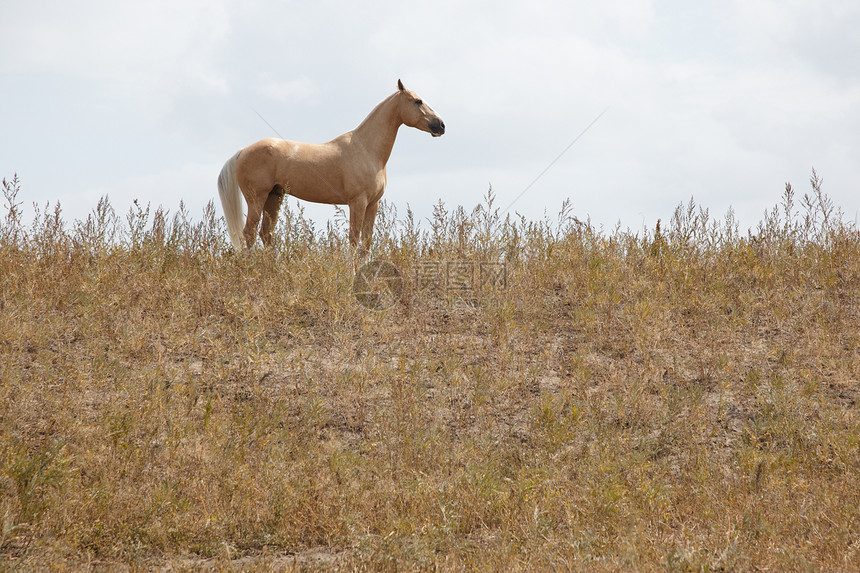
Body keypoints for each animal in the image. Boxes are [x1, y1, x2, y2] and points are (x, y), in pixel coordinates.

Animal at [217, 78, 444, 250]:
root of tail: (242, 151)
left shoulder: (373, 204)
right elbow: (354, 241)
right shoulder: (357, 202)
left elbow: (366, 244)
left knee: (266, 234)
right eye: (418, 101)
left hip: (274, 197)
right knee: (249, 234)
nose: (441, 125)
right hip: (257, 198)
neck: (366, 148)